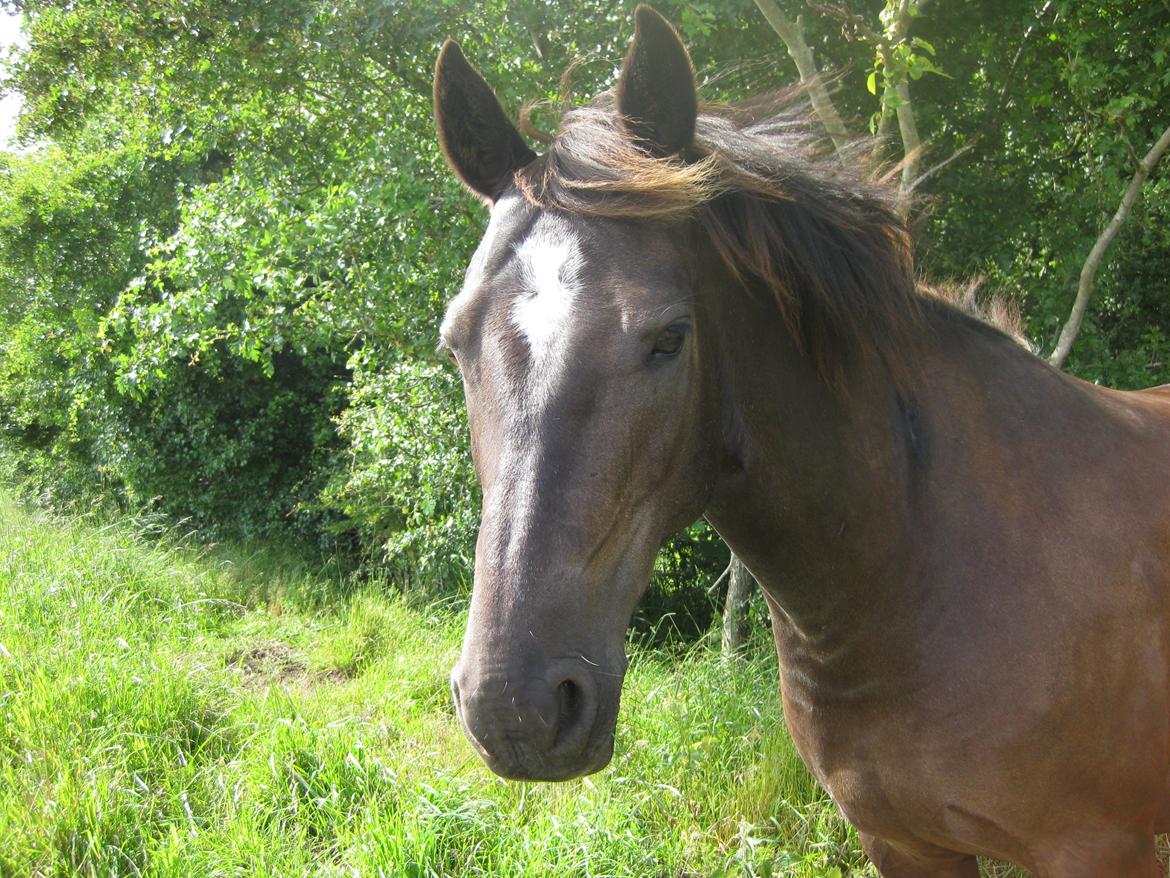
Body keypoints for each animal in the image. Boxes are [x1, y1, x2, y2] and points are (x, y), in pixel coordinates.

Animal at [430, 8, 1170, 878]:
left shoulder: (1100, 848)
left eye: (669, 339)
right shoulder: (902, 842)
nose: (513, 709)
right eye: (456, 343)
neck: (918, 565)